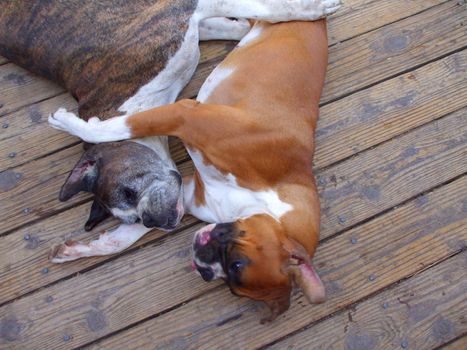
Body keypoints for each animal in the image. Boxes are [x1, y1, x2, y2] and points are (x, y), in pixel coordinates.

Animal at [0, 0, 340, 262]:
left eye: (129, 191)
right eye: (134, 218)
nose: (153, 220)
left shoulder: (183, 13)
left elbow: (257, 8)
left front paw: (306, 9)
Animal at [48, 17, 336, 322]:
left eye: (230, 280)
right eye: (236, 265)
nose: (204, 270)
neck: (268, 199)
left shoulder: (182, 196)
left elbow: (129, 234)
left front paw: (78, 249)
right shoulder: (187, 116)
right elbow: (128, 123)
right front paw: (76, 124)